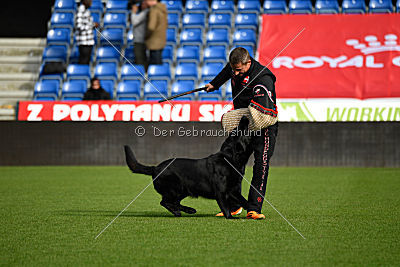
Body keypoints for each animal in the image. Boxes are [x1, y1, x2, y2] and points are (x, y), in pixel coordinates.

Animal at [124, 118, 253, 219]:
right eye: (239, 128)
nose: (244, 117)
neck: (230, 159)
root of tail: (155, 168)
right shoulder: (221, 192)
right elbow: (225, 207)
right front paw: (230, 217)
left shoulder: (233, 190)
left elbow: (245, 201)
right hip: (176, 188)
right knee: (165, 202)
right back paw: (180, 211)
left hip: (183, 190)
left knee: (173, 202)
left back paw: (187, 210)